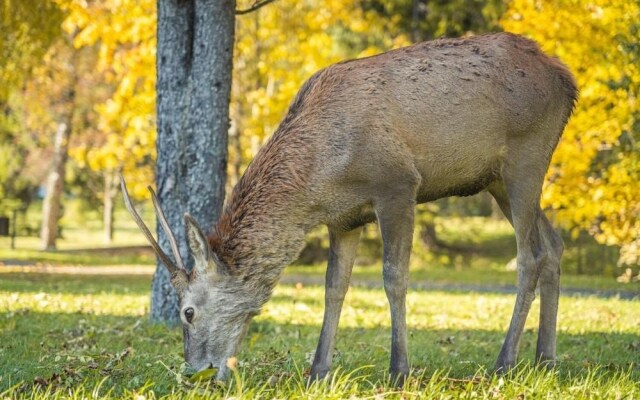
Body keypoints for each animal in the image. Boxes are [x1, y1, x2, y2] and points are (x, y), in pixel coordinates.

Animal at [120, 32, 576, 382]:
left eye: (188, 312)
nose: (194, 369)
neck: (321, 179)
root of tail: (567, 81)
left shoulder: (398, 185)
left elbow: (394, 277)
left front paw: (399, 370)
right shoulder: (344, 218)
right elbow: (334, 286)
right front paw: (318, 370)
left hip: (526, 156)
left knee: (529, 255)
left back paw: (505, 362)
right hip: (496, 178)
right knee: (553, 244)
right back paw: (545, 358)